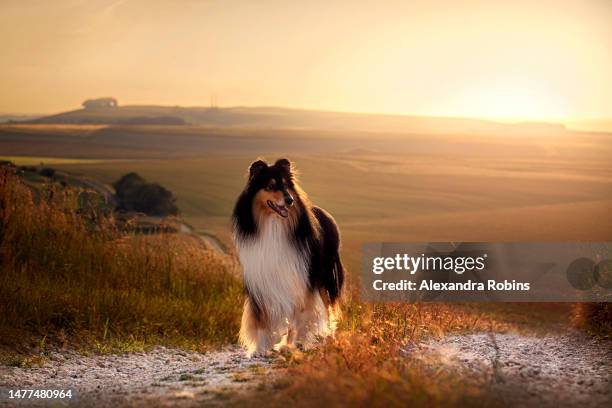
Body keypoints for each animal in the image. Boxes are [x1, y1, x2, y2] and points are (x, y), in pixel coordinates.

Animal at [232, 158, 344, 356]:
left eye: (286, 186)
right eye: (270, 186)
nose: (290, 200)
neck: (273, 224)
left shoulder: (300, 279)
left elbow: (300, 315)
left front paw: (292, 344)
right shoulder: (260, 283)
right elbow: (262, 319)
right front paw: (260, 349)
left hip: (327, 278)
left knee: (329, 309)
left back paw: (328, 338)